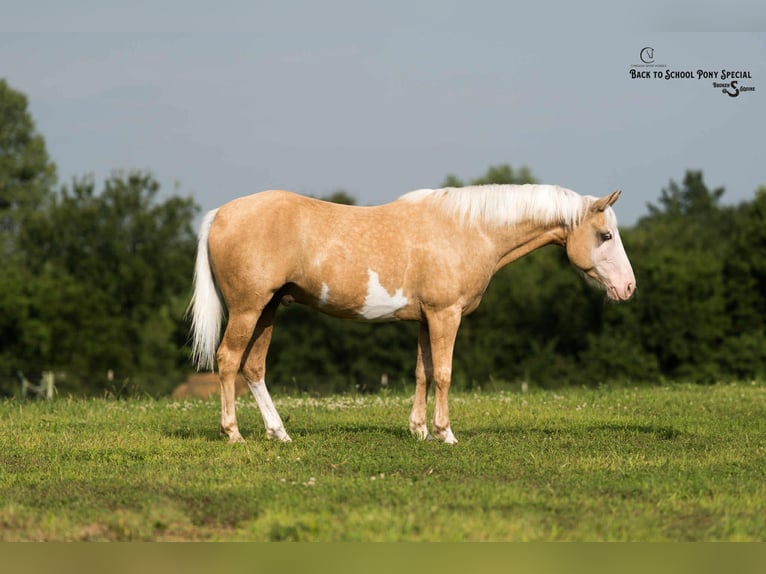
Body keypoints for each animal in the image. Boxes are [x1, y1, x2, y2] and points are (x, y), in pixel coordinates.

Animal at [187, 184, 635, 444]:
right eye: (605, 235)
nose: (628, 287)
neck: (468, 229)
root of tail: (219, 214)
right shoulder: (445, 314)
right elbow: (444, 373)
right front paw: (445, 433)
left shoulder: (425, 318)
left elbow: (423, 372)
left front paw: (419, 431)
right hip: (248, 309)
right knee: (228, 361)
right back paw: (233, 434)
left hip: (267, 310)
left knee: (253, 368)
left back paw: (279, 433)